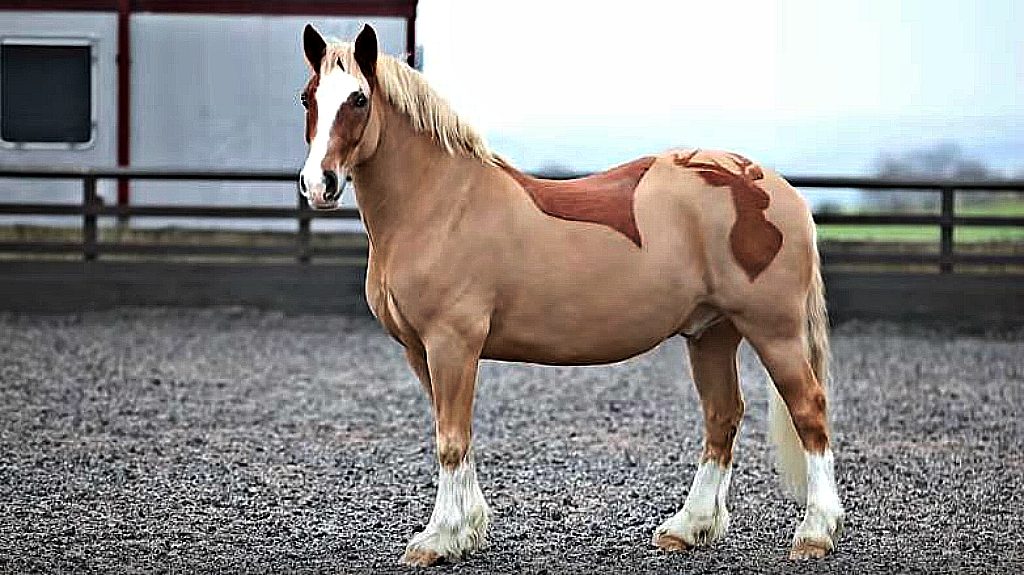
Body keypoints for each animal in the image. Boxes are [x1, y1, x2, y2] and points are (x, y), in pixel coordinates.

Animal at [296, 24, 845, 566]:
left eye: (359, 99)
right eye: (308, 97)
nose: (319, 184)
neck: (442, 204)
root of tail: (776, 190)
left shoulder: (451, 343)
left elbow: (450, 440)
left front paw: (437, 538)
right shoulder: (421, 349)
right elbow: (456, 435)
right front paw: (468, 531)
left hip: (773, 331)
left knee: (809, 410)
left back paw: (815, 533)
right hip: (712, 333)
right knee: (722, 417)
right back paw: (687, 528)